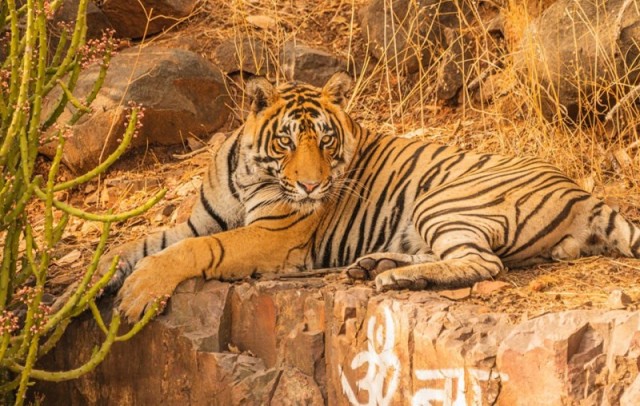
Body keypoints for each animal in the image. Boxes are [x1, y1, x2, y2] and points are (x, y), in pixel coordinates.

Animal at [106, 71, 640, 322]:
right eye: (286, 142)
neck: (249, 171)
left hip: (442, 201)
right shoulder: (199, 220)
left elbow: (197, 250)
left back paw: (392, 278)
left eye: (325, 141)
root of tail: (581, 190)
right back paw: (375, 266)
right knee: (460, 255)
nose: (311, 186)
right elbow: (137, 246)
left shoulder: (272, 234)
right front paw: (94, 283)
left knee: (484, 263)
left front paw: (137, 293)